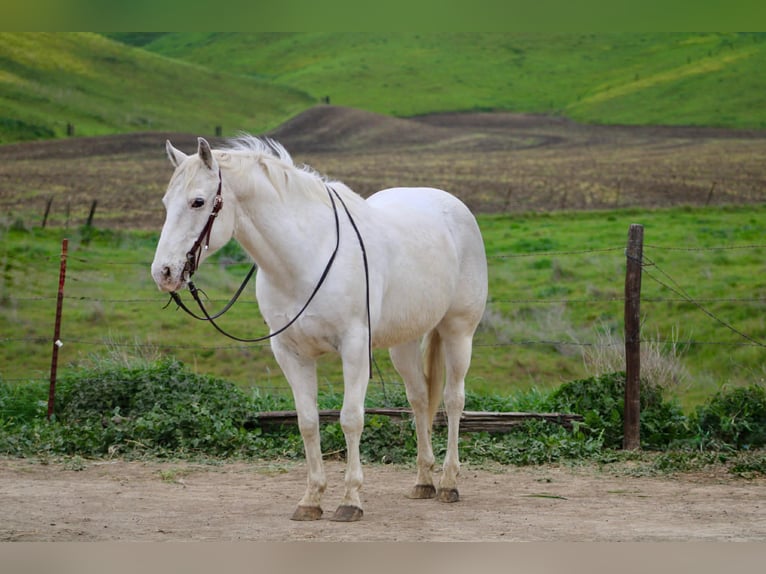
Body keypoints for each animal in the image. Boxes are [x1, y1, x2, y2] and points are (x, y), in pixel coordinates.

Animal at [151, 135, 488, 522]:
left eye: (198, 201)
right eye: (166, 202)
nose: (163, 273)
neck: (306, 257)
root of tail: (454, 206)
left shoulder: (354, 348)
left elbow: (350, 419)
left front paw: (350, 500)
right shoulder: (290, 354)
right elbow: (308, 422)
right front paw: (311, 499)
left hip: (458, 332)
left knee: (453, 399)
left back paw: (448, 482)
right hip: (403, 342)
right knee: (419, 399)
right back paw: (423, 481)